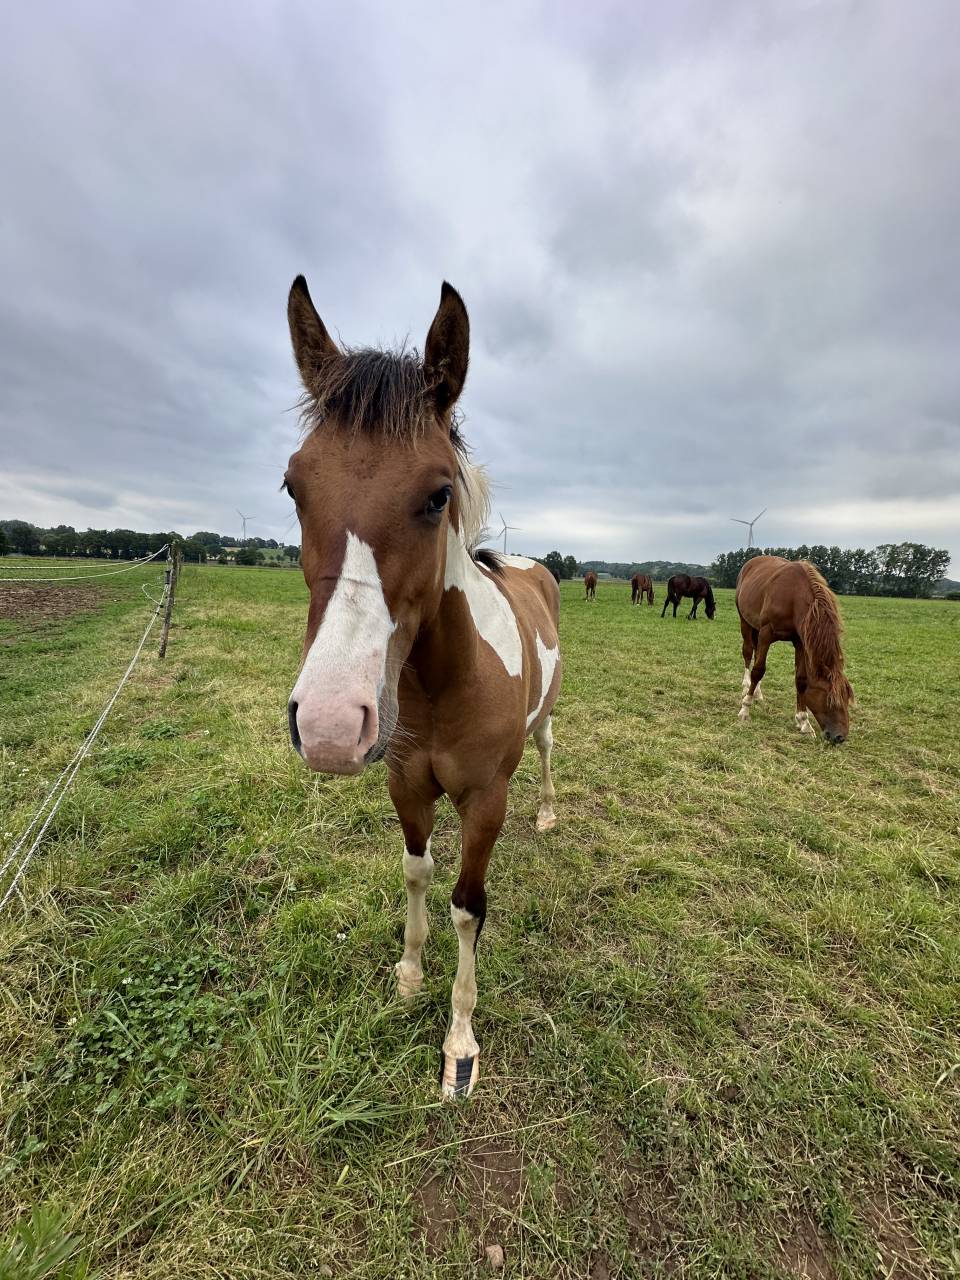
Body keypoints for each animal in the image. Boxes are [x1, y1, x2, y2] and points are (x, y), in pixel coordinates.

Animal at [284, 276, 562, 1100]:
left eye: (440, 494)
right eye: (292, 486)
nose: (330, 725)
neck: (446, 684)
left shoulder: (483, 802)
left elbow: (468, 907)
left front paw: (460, 1042)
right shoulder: (407, 786)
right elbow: (416, 874)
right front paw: (409, 976)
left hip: (543, 727)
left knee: (547, 752)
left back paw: (548, 812)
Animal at [736, 556, 852, 743]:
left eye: (847, 697)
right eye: (830, 700)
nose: (840, 737)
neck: (794, 598)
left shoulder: (801, 641)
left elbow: (801, 679)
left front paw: (803, 721)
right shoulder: (766, 633)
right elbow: (758, 670)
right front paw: (745, 709)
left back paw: (757, 692)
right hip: (745, 623)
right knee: (748, 653)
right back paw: (747, 687)